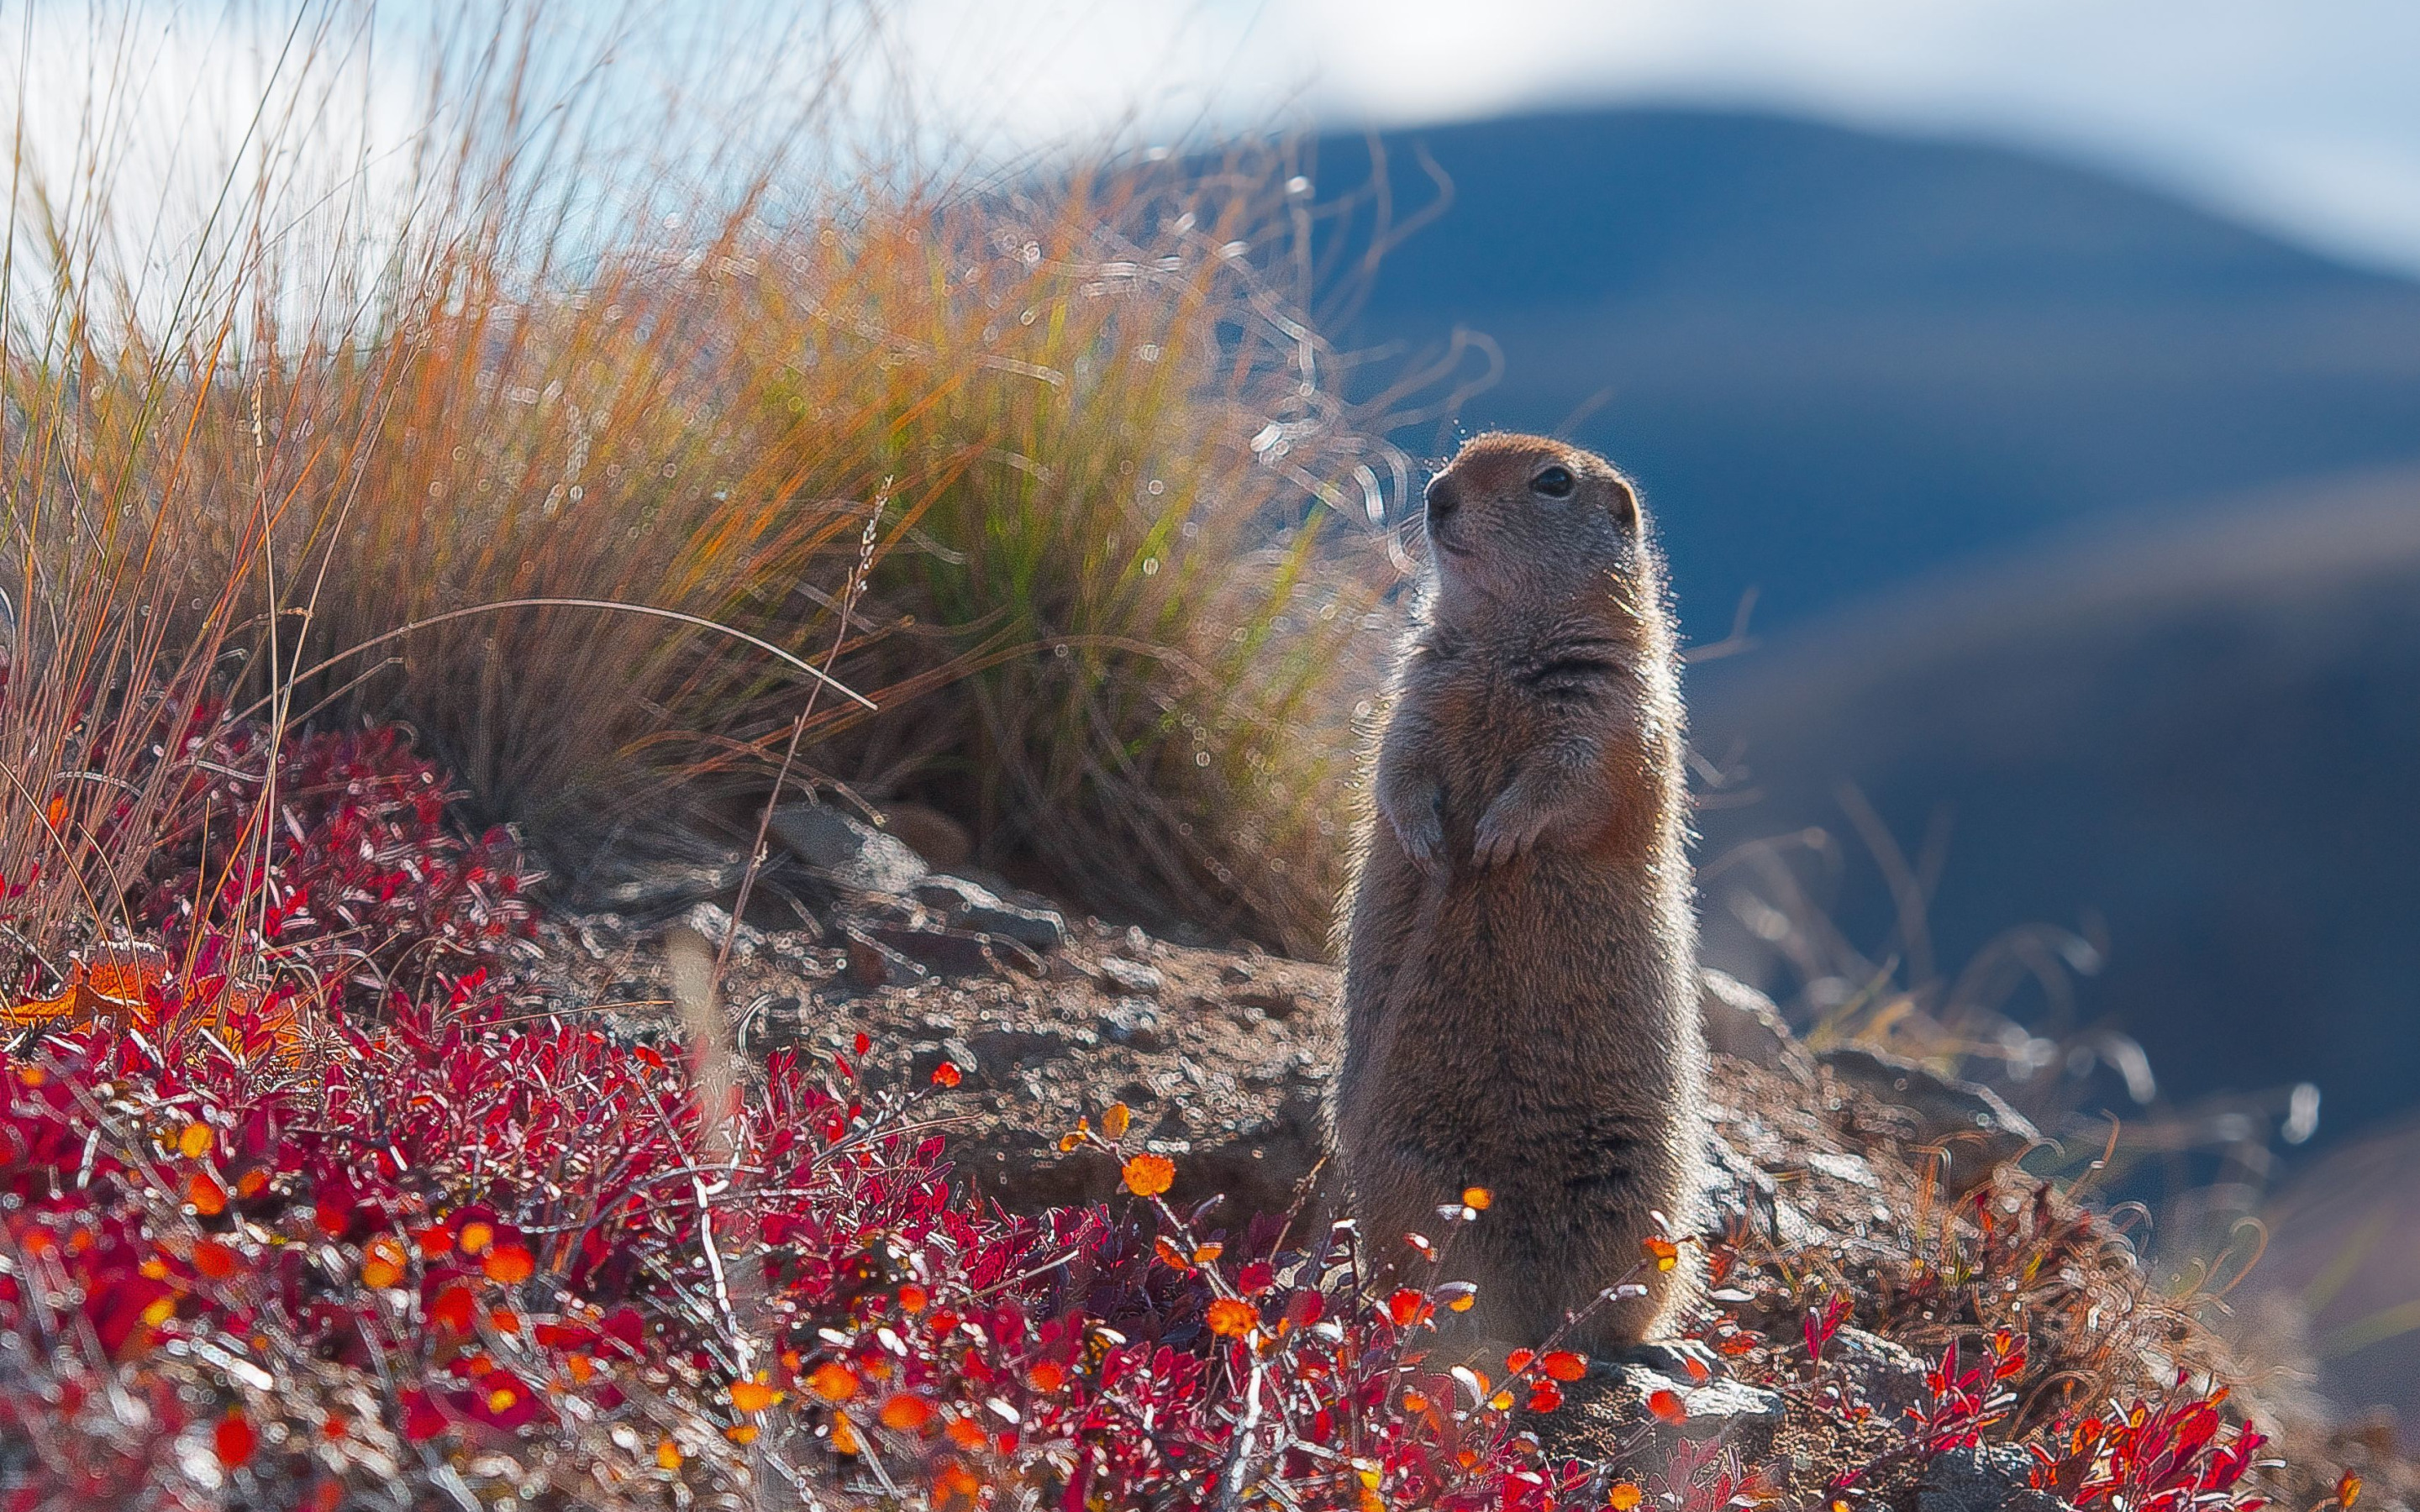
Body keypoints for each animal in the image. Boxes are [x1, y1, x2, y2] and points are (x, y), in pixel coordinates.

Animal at [1335, 428, 1713, 1354]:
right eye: (1464, 448)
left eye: (1553, 482)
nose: (1436, 494)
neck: (1503, 641)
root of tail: (1535, 1318)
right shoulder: (1416, 692)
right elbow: (1398, 766)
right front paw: (1431, 841)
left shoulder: (1613, 707)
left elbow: (1569, 778)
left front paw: (1497, 836)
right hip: (1410, 1173)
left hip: (1644, 1202)